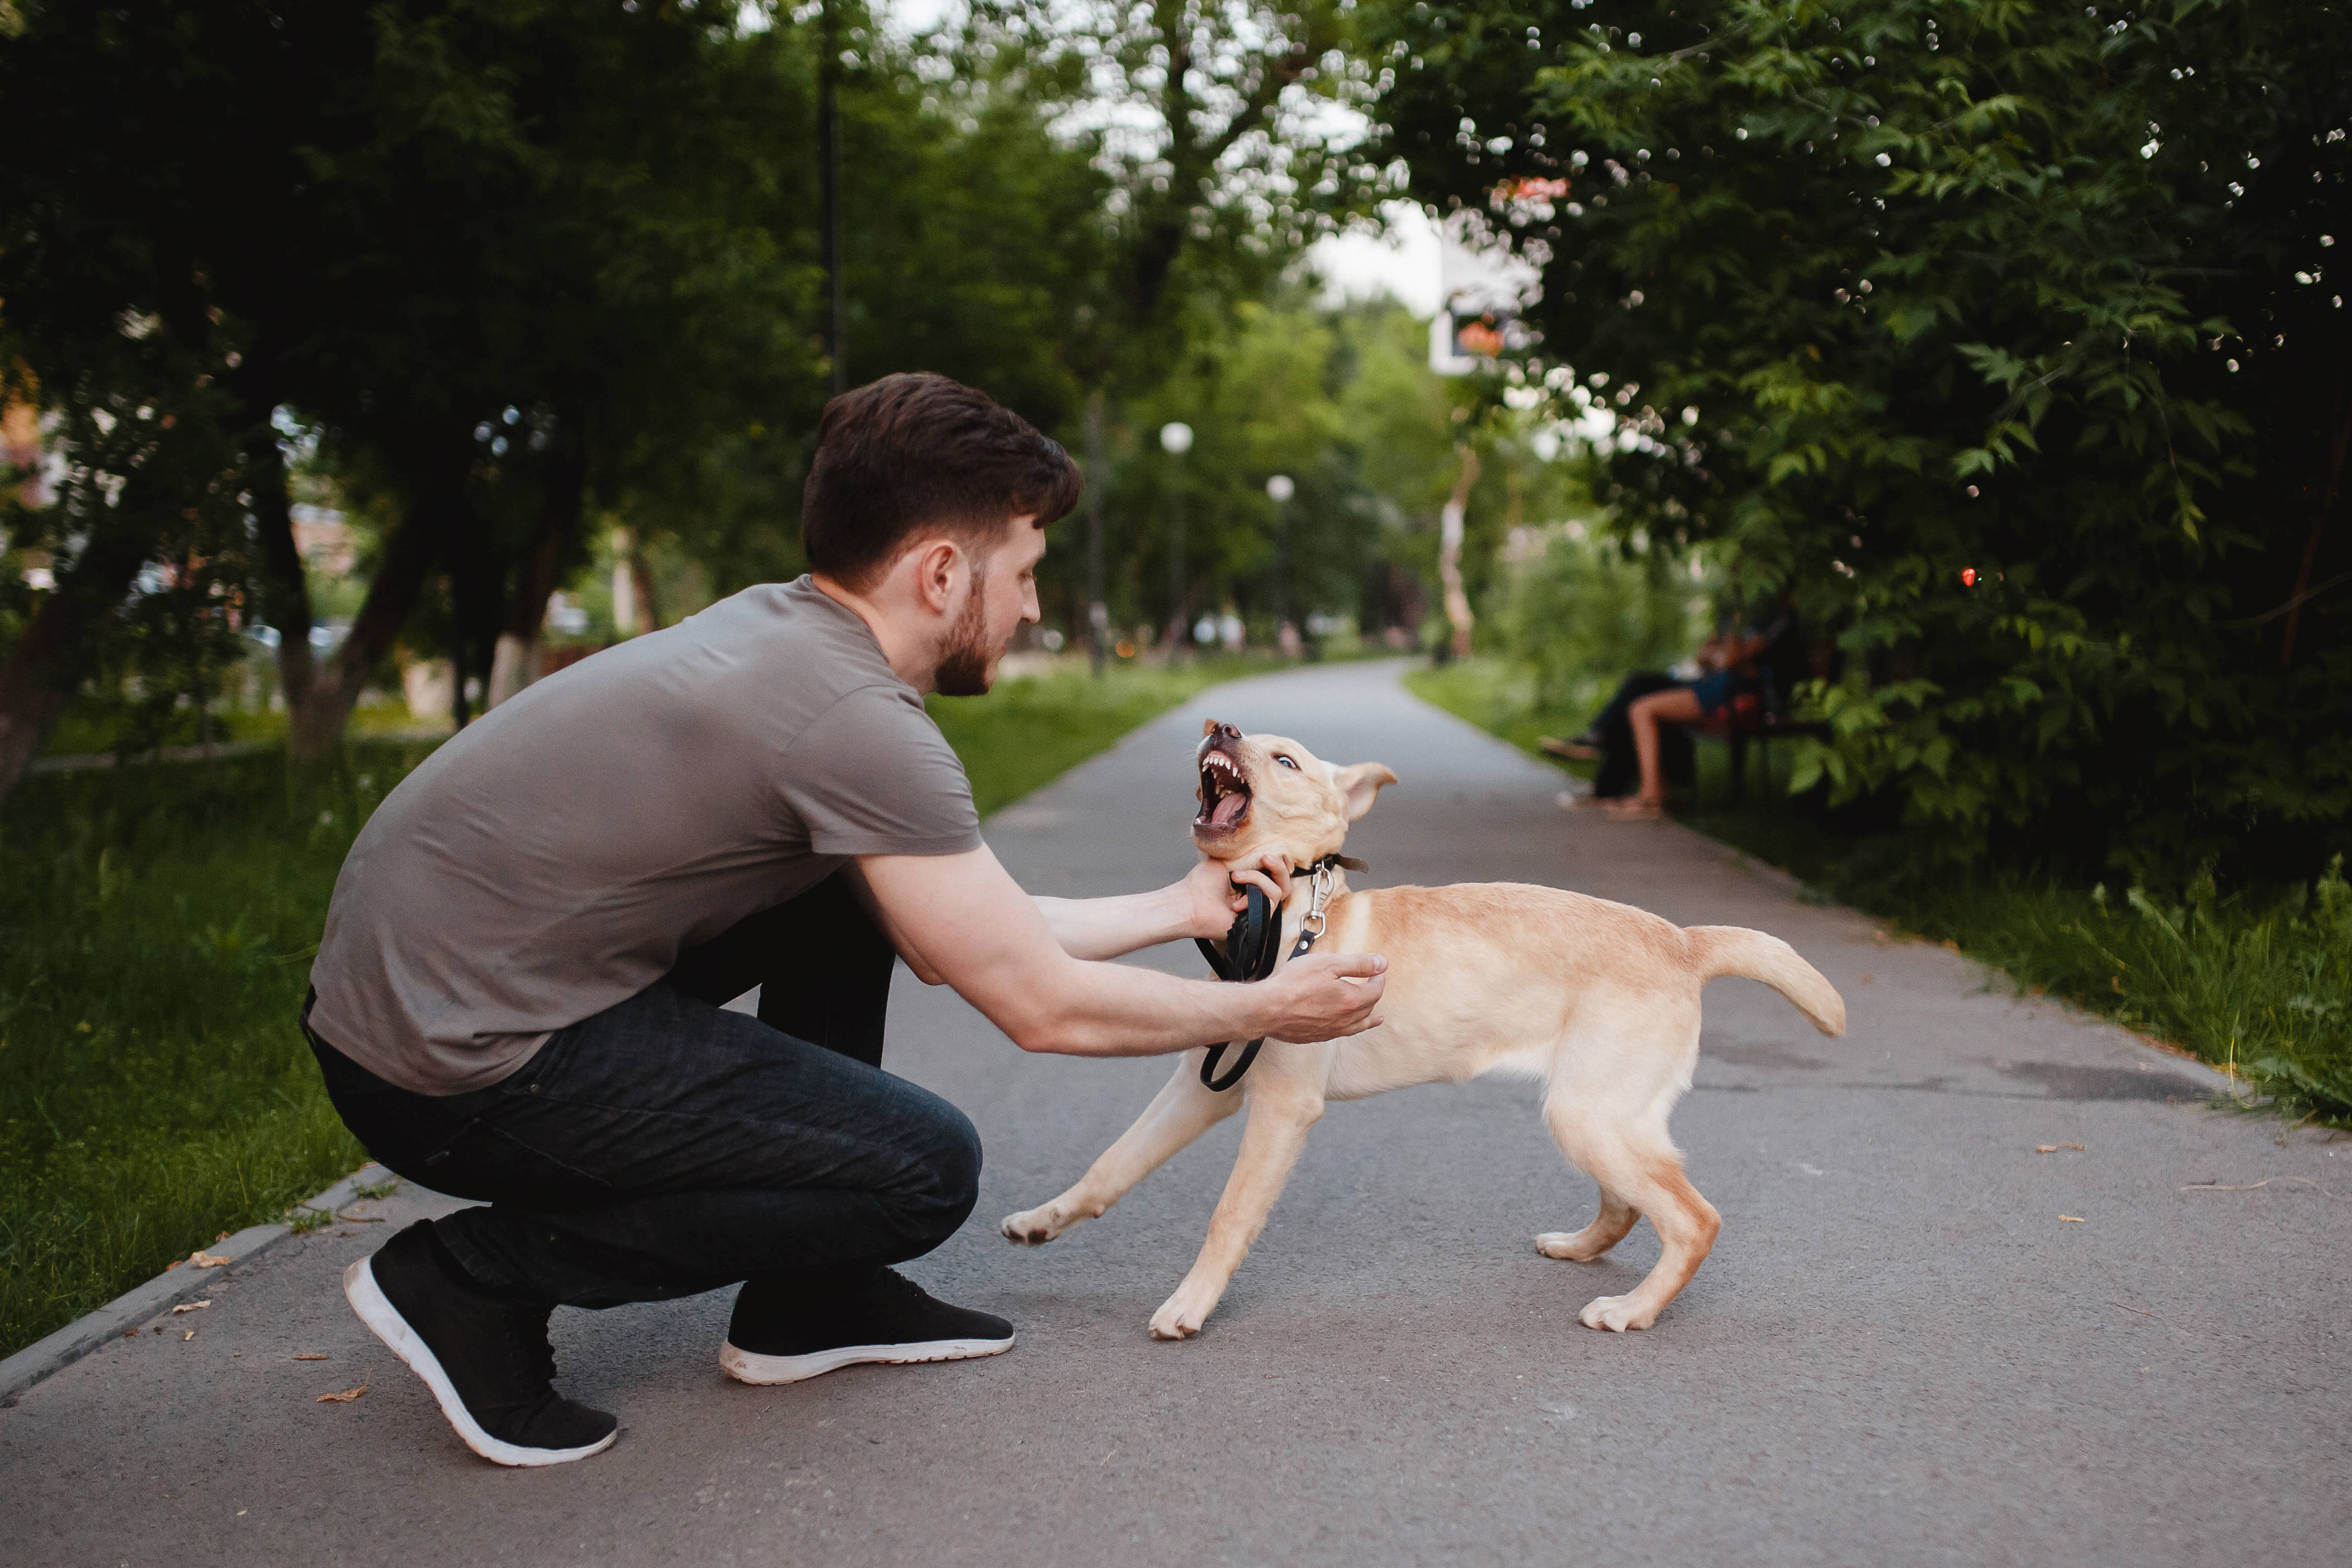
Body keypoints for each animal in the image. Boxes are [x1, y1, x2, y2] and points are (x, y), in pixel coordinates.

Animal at [1002, 719, 1844, 1335]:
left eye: (1284, 759)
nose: (1221, 724)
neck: (1280, 910)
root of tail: (1683, 939)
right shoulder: (1206, 1084)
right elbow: (1110, 1166)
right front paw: (1042, 1222)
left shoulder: (1282, 1105)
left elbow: (1228, 1212)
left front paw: (1189, 1305)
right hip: (1596, 1114)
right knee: (1631, 1202)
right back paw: (1579, 1249)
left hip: (1588, 1114)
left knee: (1693, 1218)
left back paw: (1633, 1309)